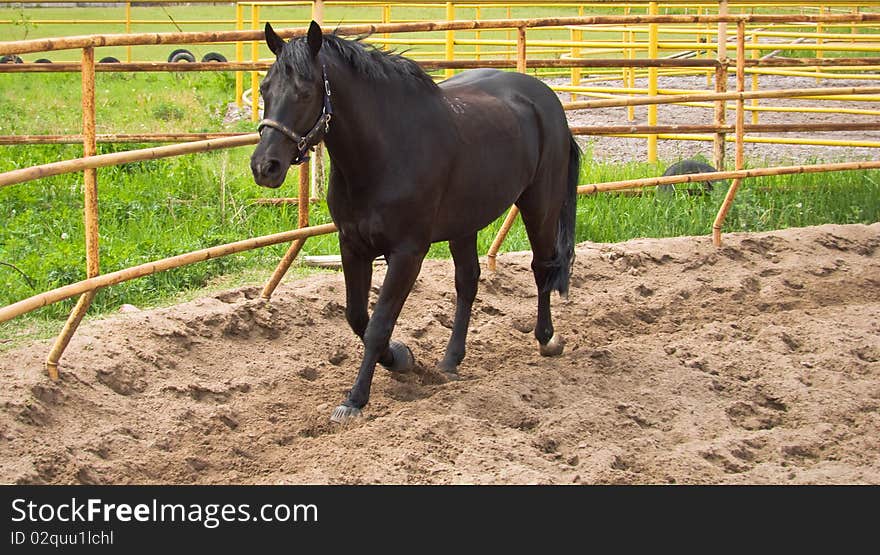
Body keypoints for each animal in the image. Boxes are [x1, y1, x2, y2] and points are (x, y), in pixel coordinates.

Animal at [251, 19, 580, 424]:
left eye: (305, 91)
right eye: (265, 88)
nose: (265, 166)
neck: (385, 152)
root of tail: (546, 98)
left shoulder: (408, 253)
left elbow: (378, 324)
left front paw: (356, 399)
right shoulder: (352, 245)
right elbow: (357, 316)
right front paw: (401, 359)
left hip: (539, 204)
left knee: (541, 267)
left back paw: (547, 338)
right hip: (465, 223)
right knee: (468, 282)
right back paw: (451, 360)